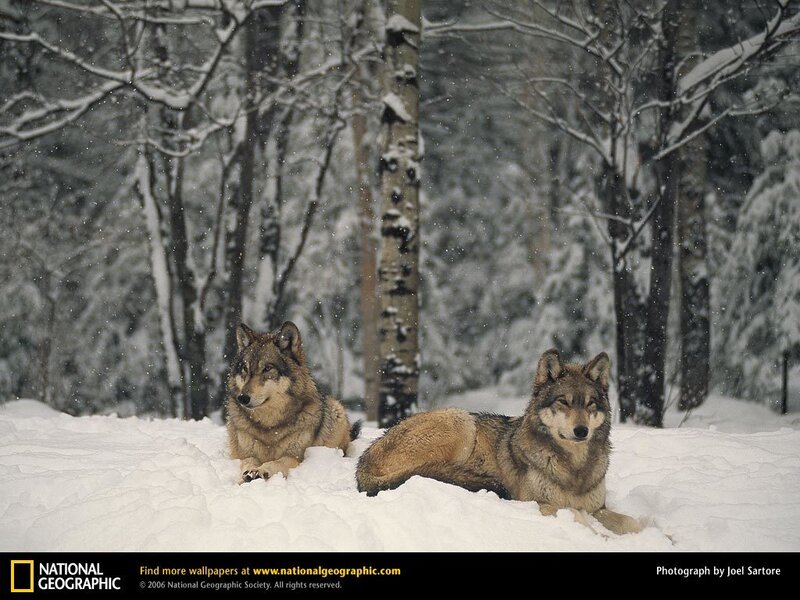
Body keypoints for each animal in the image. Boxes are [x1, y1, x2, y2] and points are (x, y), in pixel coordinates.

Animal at [226, 321, 359, 484]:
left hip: (336, 410)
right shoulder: (245, 454)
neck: (269, 426)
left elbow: (276, 462)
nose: (242, 397)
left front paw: (262, 470)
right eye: (245, 368)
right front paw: (249, 472)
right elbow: (249, 462)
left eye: (267, 368)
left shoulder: (294, 457)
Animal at [356, 349, 641, 535]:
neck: (573, 468)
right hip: (461, 420)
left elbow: (632, 522)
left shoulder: (599, 507)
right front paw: (599, 536)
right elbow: (576, 515)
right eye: (564, 402)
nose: (581, 431)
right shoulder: (536, 503)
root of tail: (364, 460)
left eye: (590, 404)